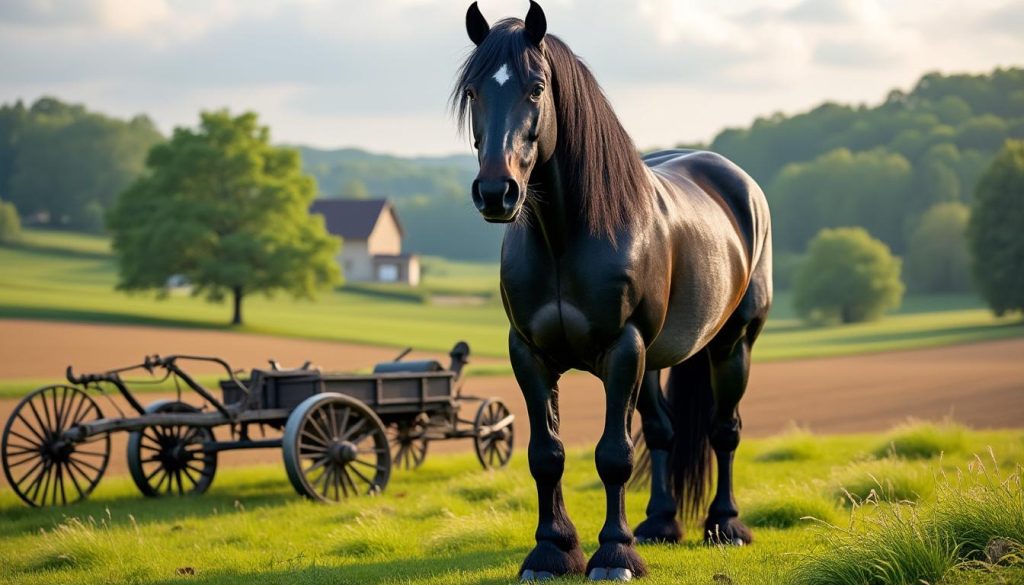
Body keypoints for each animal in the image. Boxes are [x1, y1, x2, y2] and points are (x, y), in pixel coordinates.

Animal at [452, 2, 773, 580]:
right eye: (473, 91)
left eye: (536, 88)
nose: (495, 191)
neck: (565, 237)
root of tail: (737, 182)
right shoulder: (529, 354)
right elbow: (546, 454)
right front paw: (553, 551)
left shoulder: (623, 350)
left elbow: (614, 456)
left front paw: (615, 555)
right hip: (656, 357)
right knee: (666, 431)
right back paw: (661, 523)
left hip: (732, 345)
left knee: (725, 430)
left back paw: (725, 526)